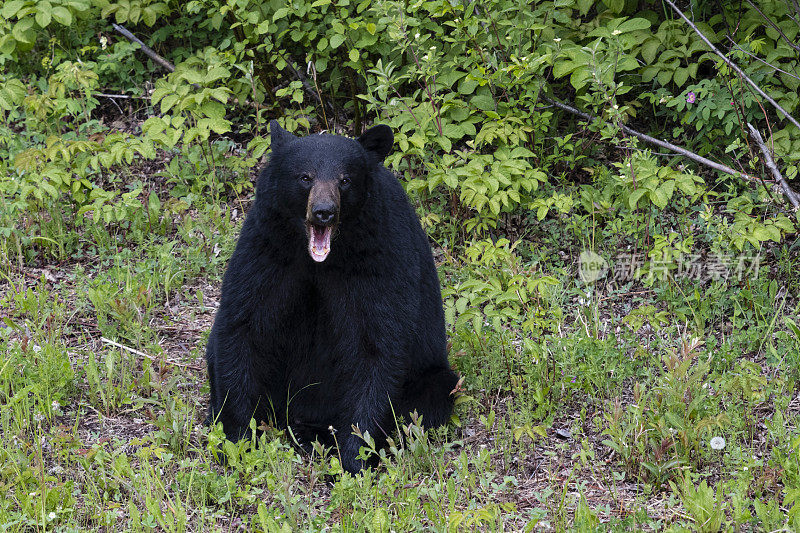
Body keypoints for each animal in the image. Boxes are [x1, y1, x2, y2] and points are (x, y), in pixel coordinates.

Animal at [205, 121, 456, 474]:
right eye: (305, 177)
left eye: (345, 180)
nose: (324, 212)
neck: (321, 260)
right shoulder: (267, 248)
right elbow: (243, 323)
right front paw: (237, 438)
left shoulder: (380, 256)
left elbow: (376, 344)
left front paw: (355, 457)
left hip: (431, 376)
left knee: (430, 397)